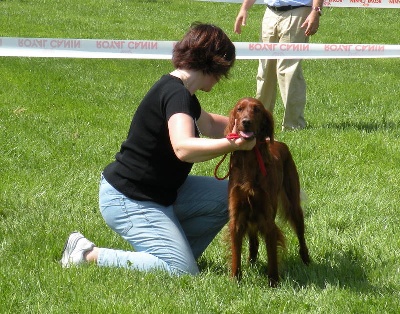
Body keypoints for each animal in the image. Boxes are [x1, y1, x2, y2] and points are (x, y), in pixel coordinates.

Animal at [225, 97, 310, 288]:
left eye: (257, 110)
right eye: (240, 109)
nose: (246, 122)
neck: (250, 160)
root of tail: (279, 143)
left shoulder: (267, 217)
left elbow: (272, 254)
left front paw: (273, 282)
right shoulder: (237, 216)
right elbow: (236, 253)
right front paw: (235, 280)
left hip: (293, 204)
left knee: (301, 234)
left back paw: (307, 260)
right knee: (254, 241)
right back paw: (252, 261)